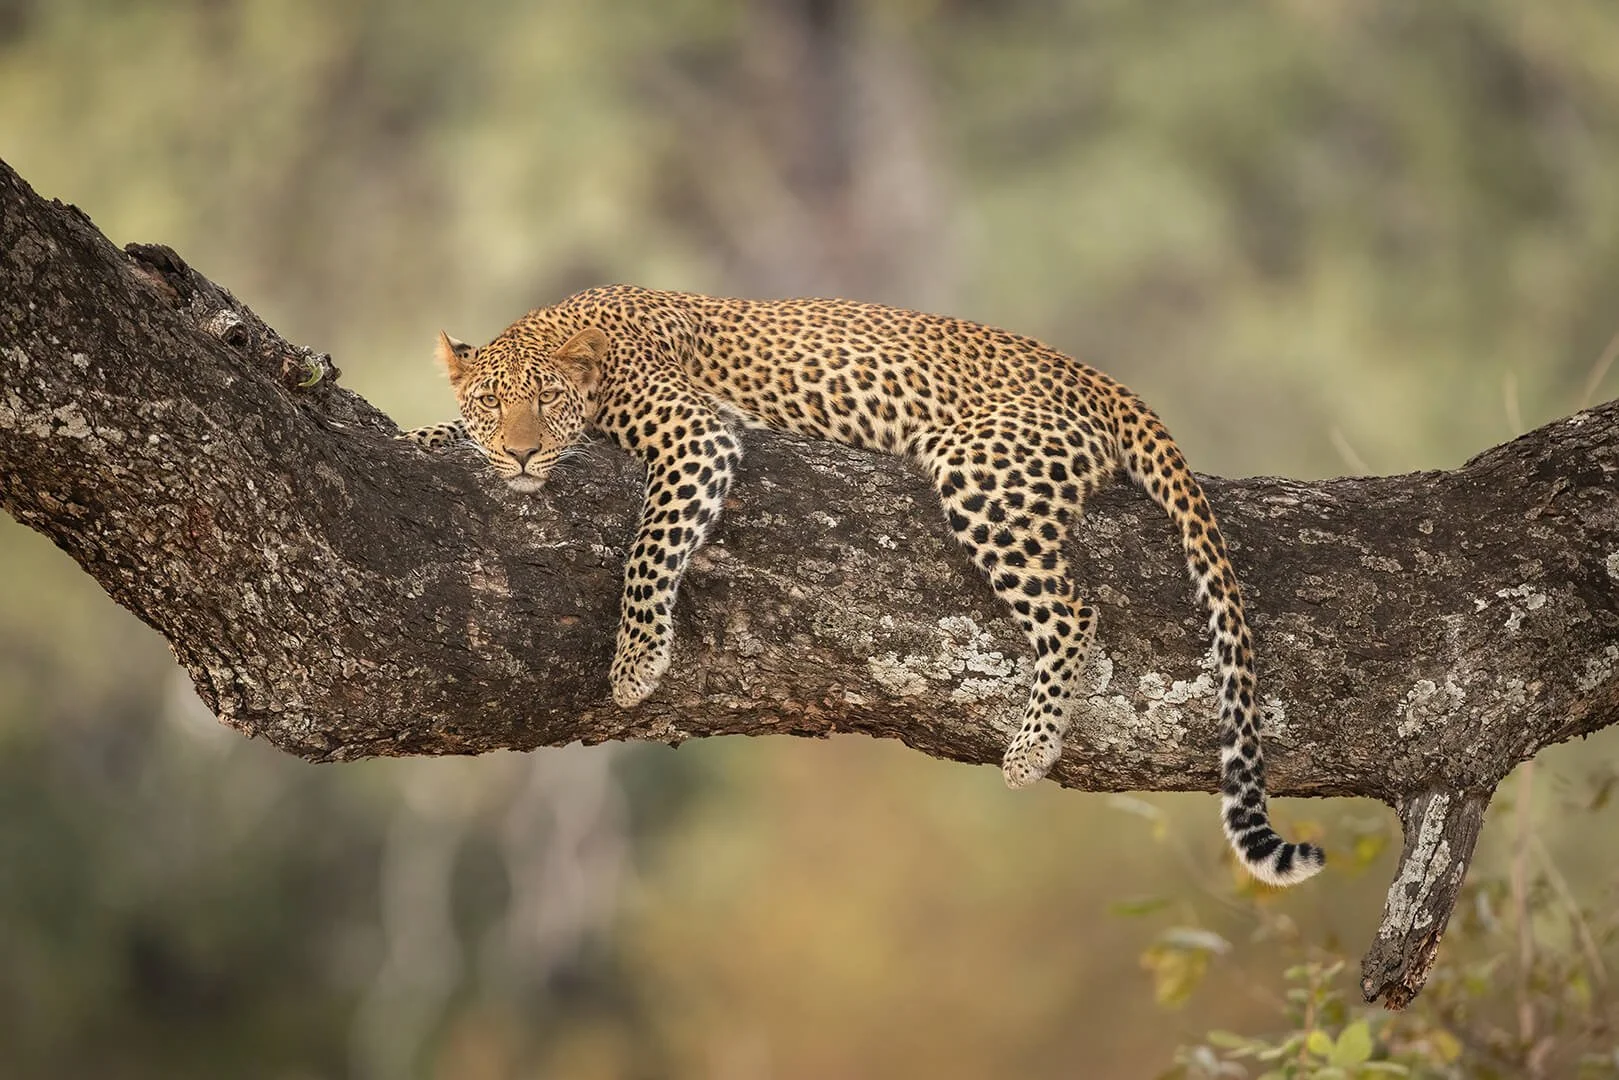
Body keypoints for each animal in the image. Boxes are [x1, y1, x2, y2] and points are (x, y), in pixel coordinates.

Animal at [401, 284, 1325, 887]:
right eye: (492, 404)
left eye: (546, 401)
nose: (522, 454)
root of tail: (1099, 378)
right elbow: (439, 432)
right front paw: (422, 436)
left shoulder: (697, 437)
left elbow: (650, 545)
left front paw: (634, 663)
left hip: (981, 470)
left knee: (1072, 609)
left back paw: (1030, 749)